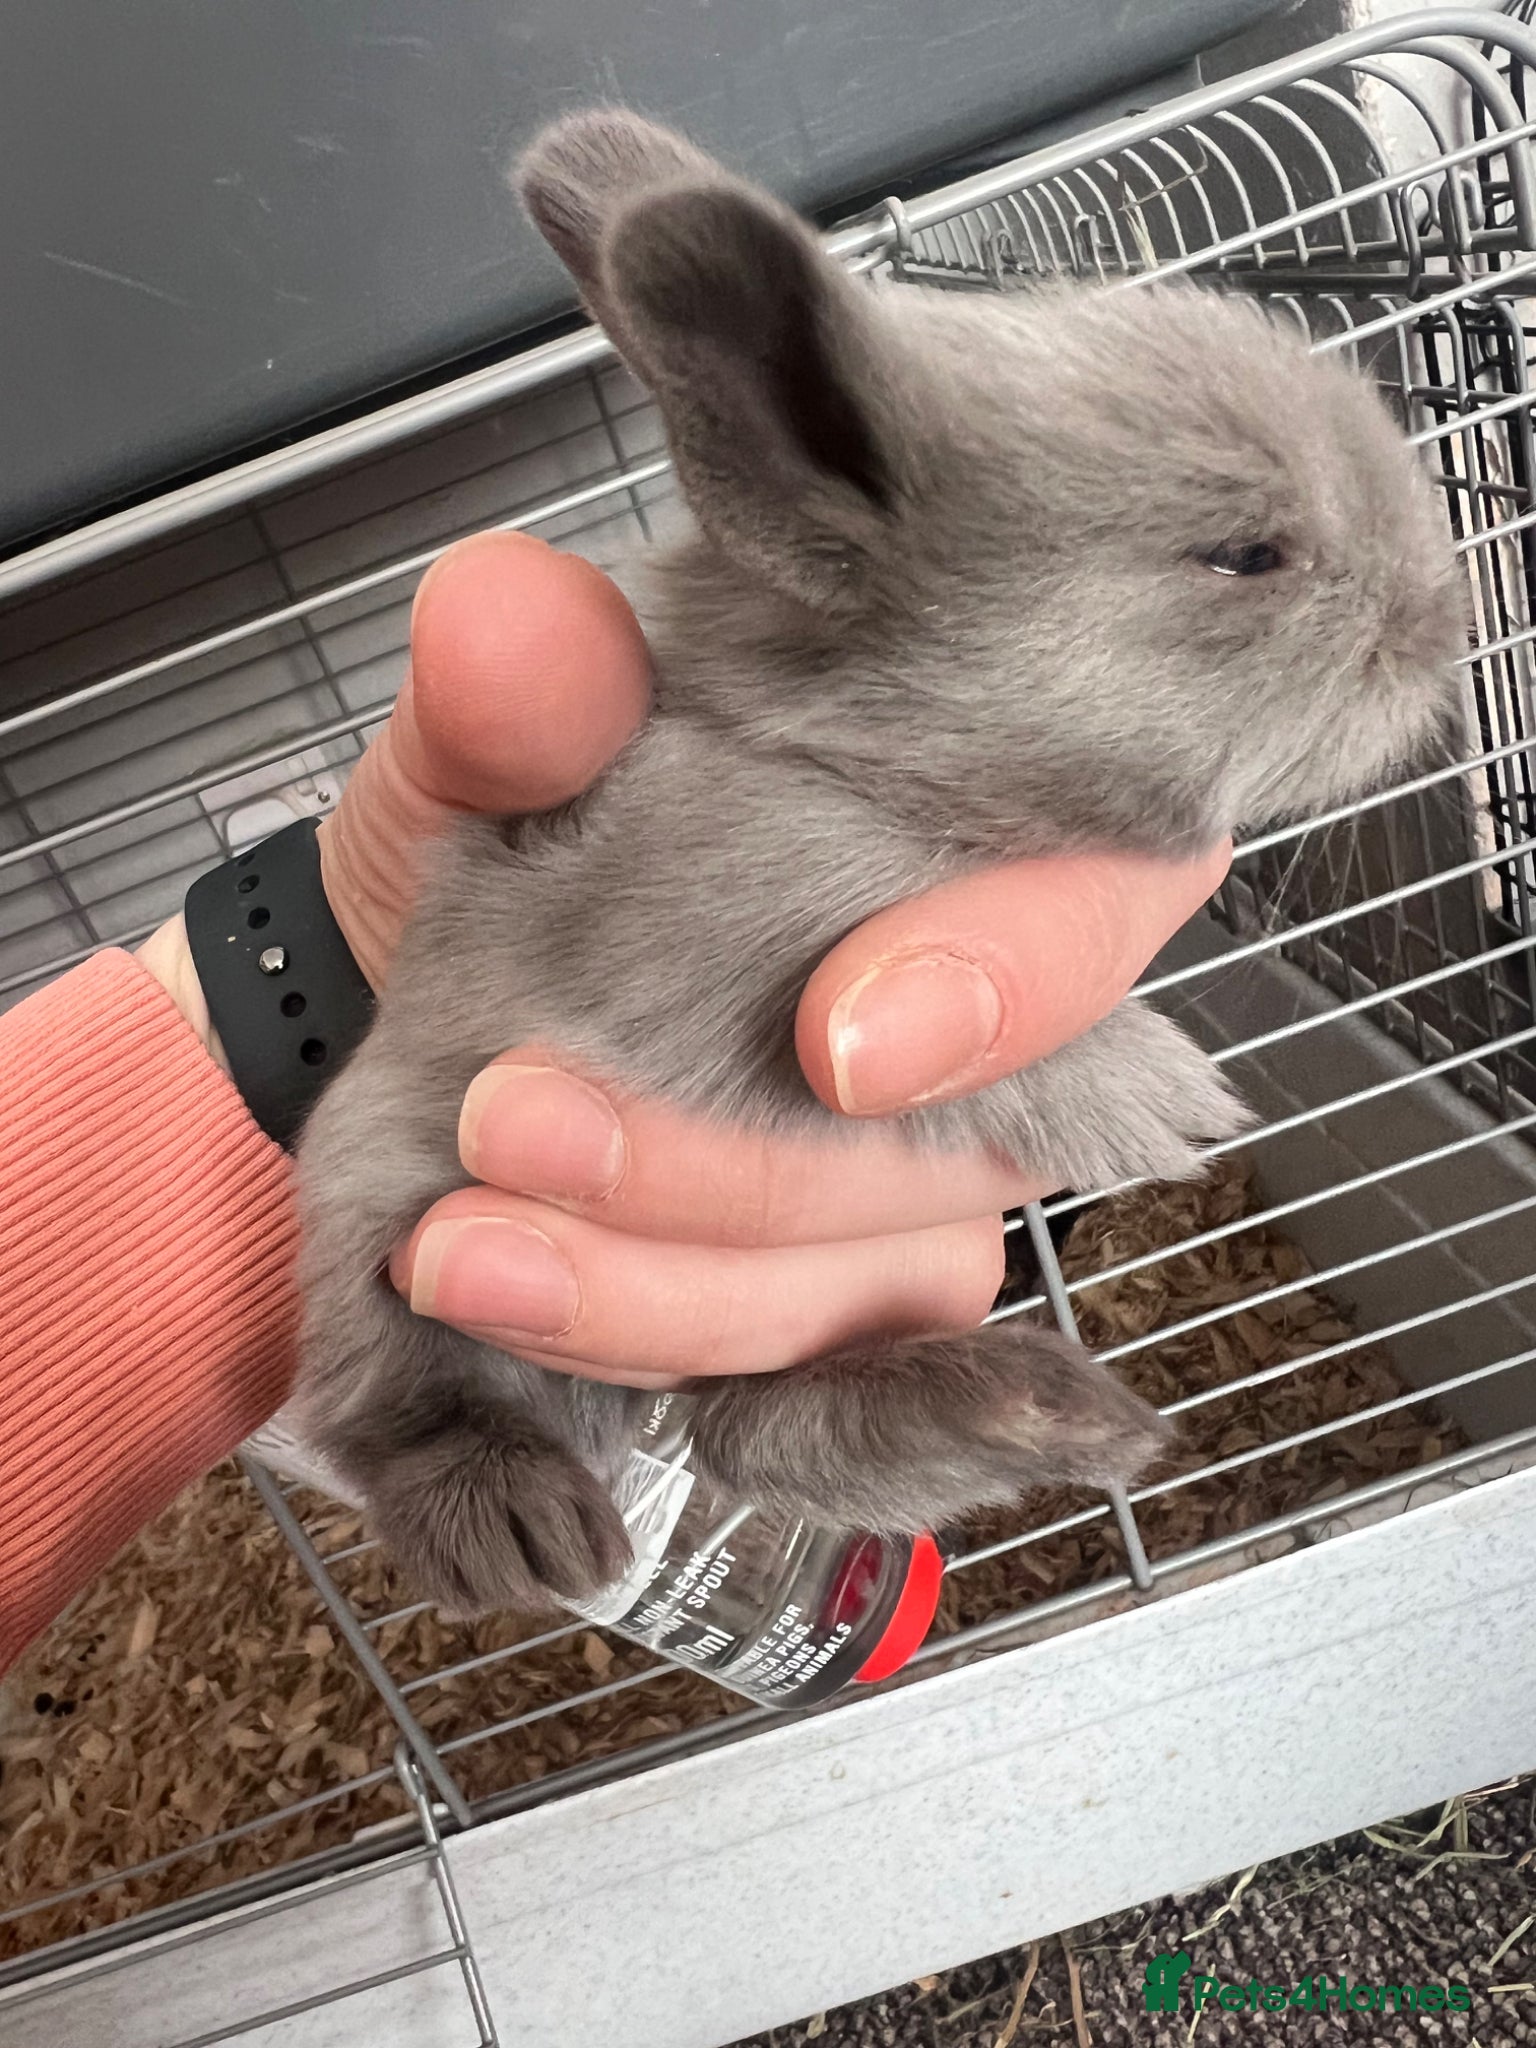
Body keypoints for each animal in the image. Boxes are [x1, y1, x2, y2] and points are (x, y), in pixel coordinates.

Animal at [290, 110, 1463, 1617]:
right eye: (1244, 553)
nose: (1449, 620)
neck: (852, 767)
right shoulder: (735, 1008)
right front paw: (1164, 1099)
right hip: (379, 1214)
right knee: (397, 1412)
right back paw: (524, 1525)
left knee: (759, 1430)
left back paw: (1052, 1414)